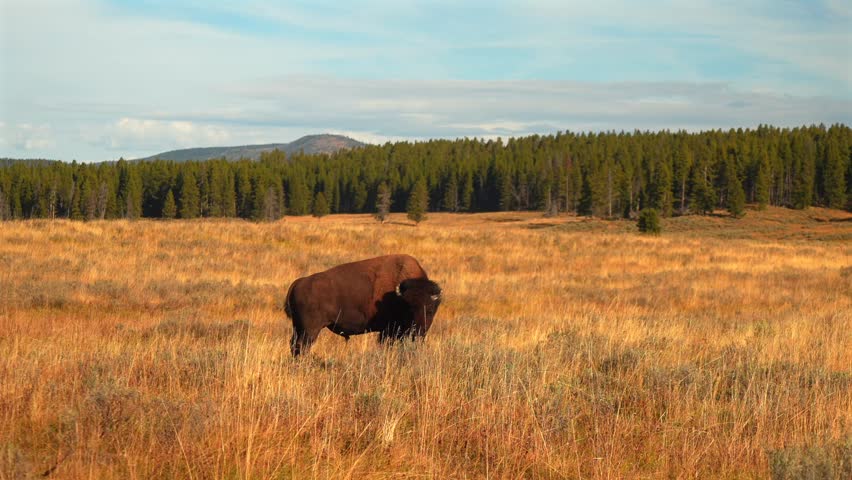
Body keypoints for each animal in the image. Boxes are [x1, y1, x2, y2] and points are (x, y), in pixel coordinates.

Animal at [284, 254, 442, 357]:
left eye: (430, 310)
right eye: (408, 308)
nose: (417, 331)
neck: (398, 296)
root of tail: (299, 282)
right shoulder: (388, 331)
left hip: (298, 327)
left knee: (294, 345)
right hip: (310, 330)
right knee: (302, 347)